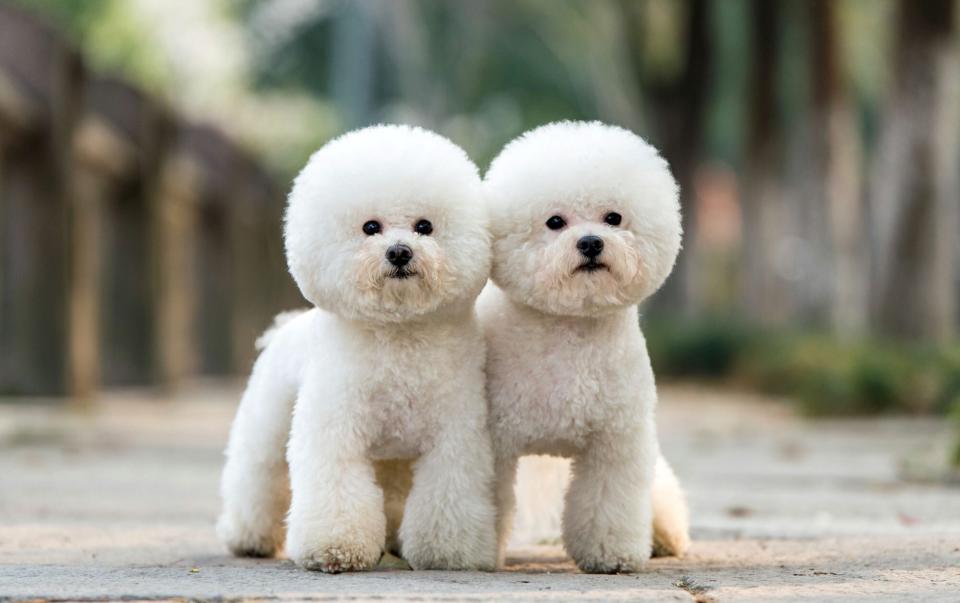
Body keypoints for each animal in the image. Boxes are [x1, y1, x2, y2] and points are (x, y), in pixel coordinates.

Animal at [217, 125, 496, 572]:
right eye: (370, 227)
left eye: (424, 226)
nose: (399, 252)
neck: (397, 334)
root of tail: (283, 329)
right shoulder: (336, 427)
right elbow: (336, 482)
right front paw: (335, 548)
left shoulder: (454, 433)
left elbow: (448, 486)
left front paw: (448, 551)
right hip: (267, 422)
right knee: (259, 474)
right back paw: (248, 538)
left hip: (393, 459)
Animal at [478, 120, 688, 572]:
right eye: (555, 221)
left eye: (614, 218)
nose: (591, 242)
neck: (571, 327)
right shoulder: (497, 442)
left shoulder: (615, 438)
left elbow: (609, 497)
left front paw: (612, 554)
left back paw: (665, 535)